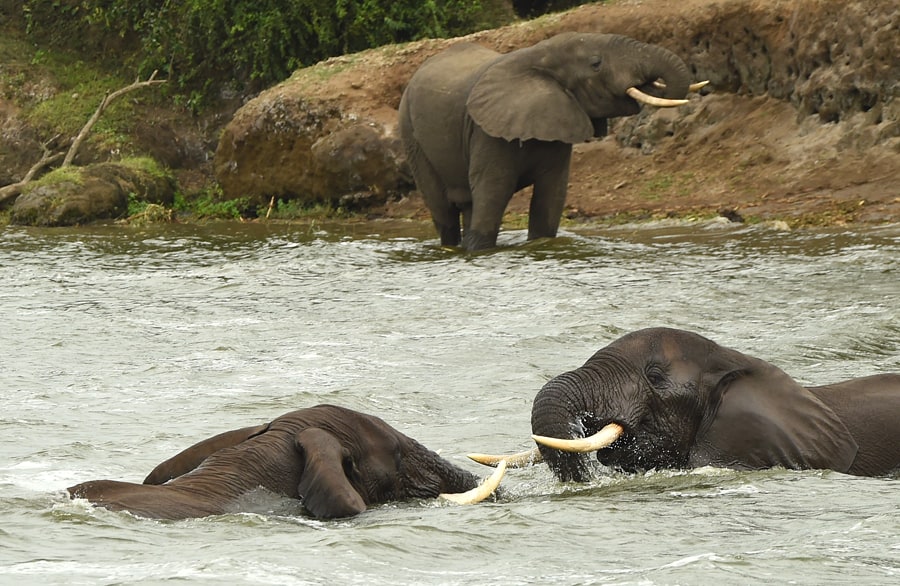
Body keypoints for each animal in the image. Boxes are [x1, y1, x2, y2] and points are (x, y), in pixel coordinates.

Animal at [399, 32, 705, 250]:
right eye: (596, 64)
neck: (539, 54)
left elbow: (551, 194)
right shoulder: (486, 132)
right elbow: (493, 192)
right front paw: (480, 251)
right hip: (411, 133)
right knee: (444, 212)